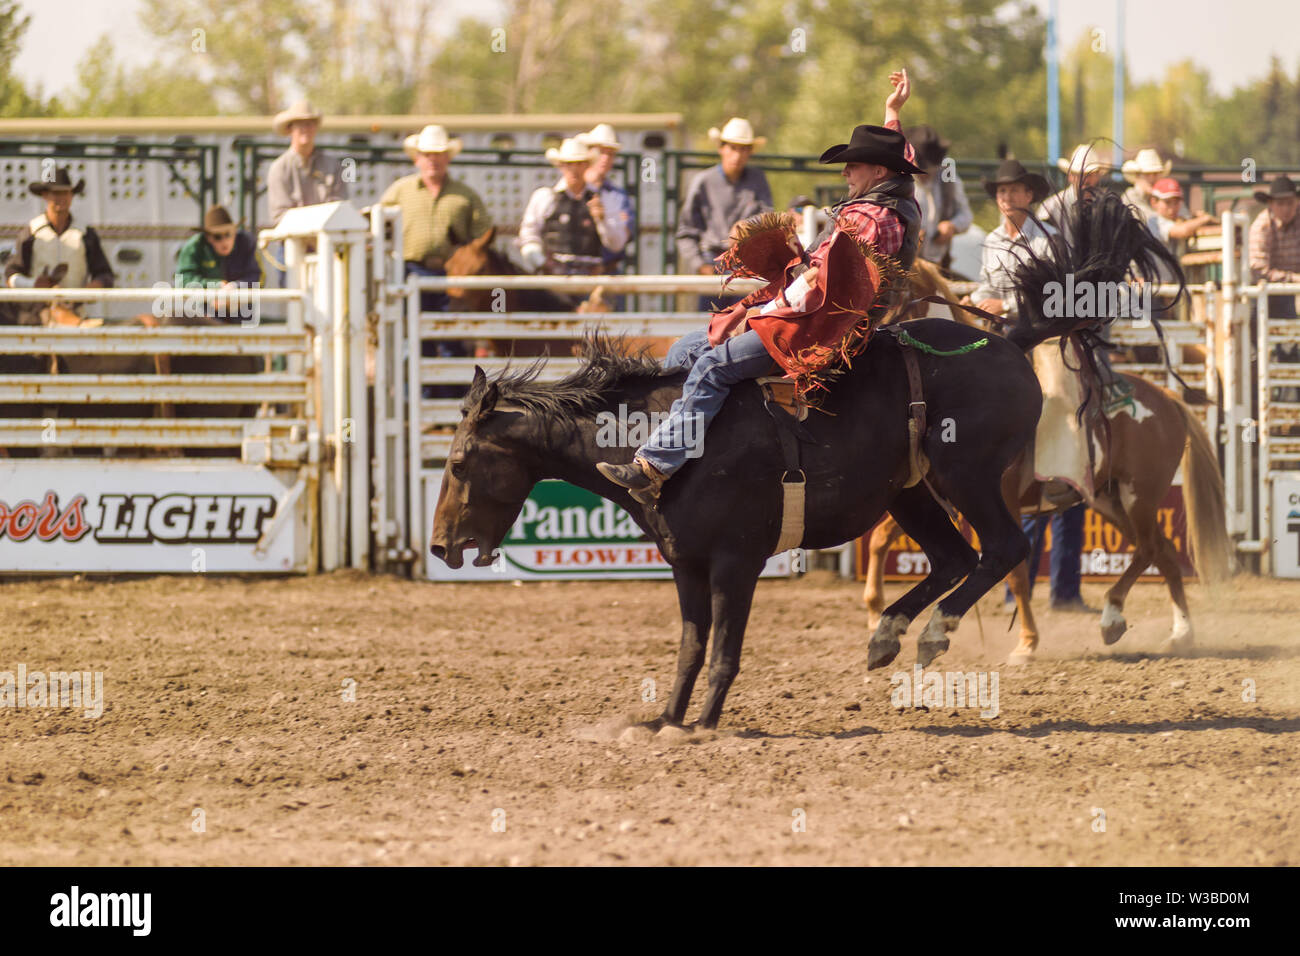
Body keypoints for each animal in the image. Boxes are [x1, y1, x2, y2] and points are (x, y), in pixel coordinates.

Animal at [428, 191, 1170, 728]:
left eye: (460, 462)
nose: (439, 546)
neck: (662, 435)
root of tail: (1011, 338)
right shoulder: (687, 563)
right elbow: (691, 647)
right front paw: (665, 720)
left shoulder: (737, 560)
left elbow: (724, 651)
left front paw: (703, 725)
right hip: (911, 492)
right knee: (956, 556)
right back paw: (887, 636)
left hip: (970, 476)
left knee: (1005, 548)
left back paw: (934, 634)